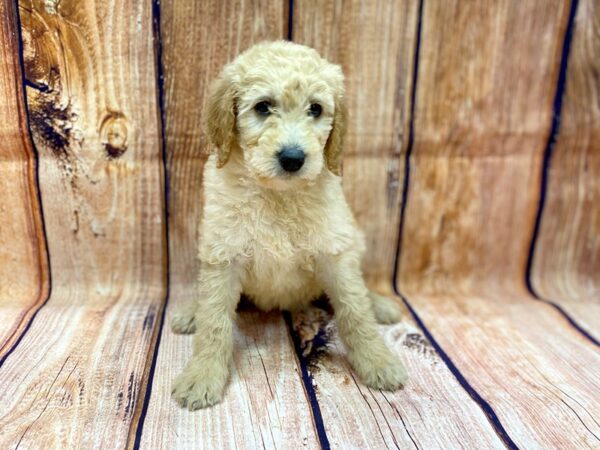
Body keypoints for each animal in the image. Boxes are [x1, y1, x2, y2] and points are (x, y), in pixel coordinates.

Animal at [171, 40, 410, 410]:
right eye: (263, 107)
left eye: (315, 109)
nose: (293, 158)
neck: (278, 196)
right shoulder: (223, 253)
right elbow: (214, 320)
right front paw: (202, 375)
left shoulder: (335, 251)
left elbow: (355, 311)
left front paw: (378, 361)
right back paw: (191, 311)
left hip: (354, 237)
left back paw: (380, 304)